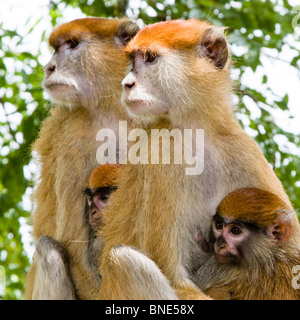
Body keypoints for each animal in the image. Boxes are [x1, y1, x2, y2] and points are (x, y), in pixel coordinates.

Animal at [24, 18, 139, 300]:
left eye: (72, 44)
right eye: (56, 48)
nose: (49, 67)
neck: (112, 109)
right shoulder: (74, 137)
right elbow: (74, 249)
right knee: (49, 250)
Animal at [98, 20, 300, 300]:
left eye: (149, 58)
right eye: (132, 60)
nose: (127, 84)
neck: (197, 129)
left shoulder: (242, 148)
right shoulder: (163, 150)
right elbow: (175, 279)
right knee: (124, 261)